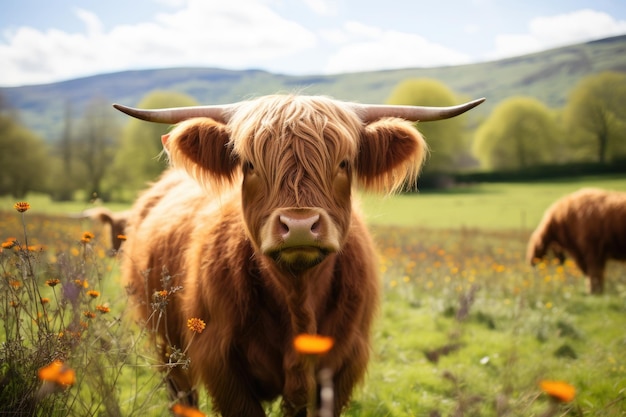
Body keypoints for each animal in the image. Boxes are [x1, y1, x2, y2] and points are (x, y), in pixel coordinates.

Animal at [113, 94, 482, 416]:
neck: (298, 296)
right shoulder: (221, 365)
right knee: (182, 396)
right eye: (249, 164)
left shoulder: (343, 366)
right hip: (165, 347)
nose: (300, 225)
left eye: (343, 163)